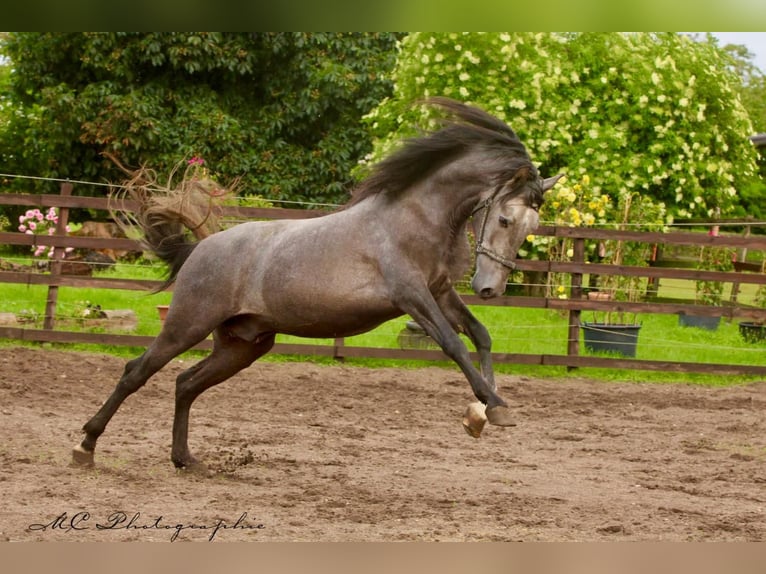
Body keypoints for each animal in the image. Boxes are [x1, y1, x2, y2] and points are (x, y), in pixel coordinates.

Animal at [72, 97, 562, 471]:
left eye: (531, 227)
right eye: (504, 218)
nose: (490, 288)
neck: (415, 219)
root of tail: (201, 248)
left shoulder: (441, 291)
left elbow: (480, 335)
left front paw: (487, 409)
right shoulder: (412, 296)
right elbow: (454, 345)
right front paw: (490, 408)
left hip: (243, 345)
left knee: (185, 384)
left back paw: (185, 459)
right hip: (186, 325)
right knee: (136, 372)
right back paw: (85, 447)